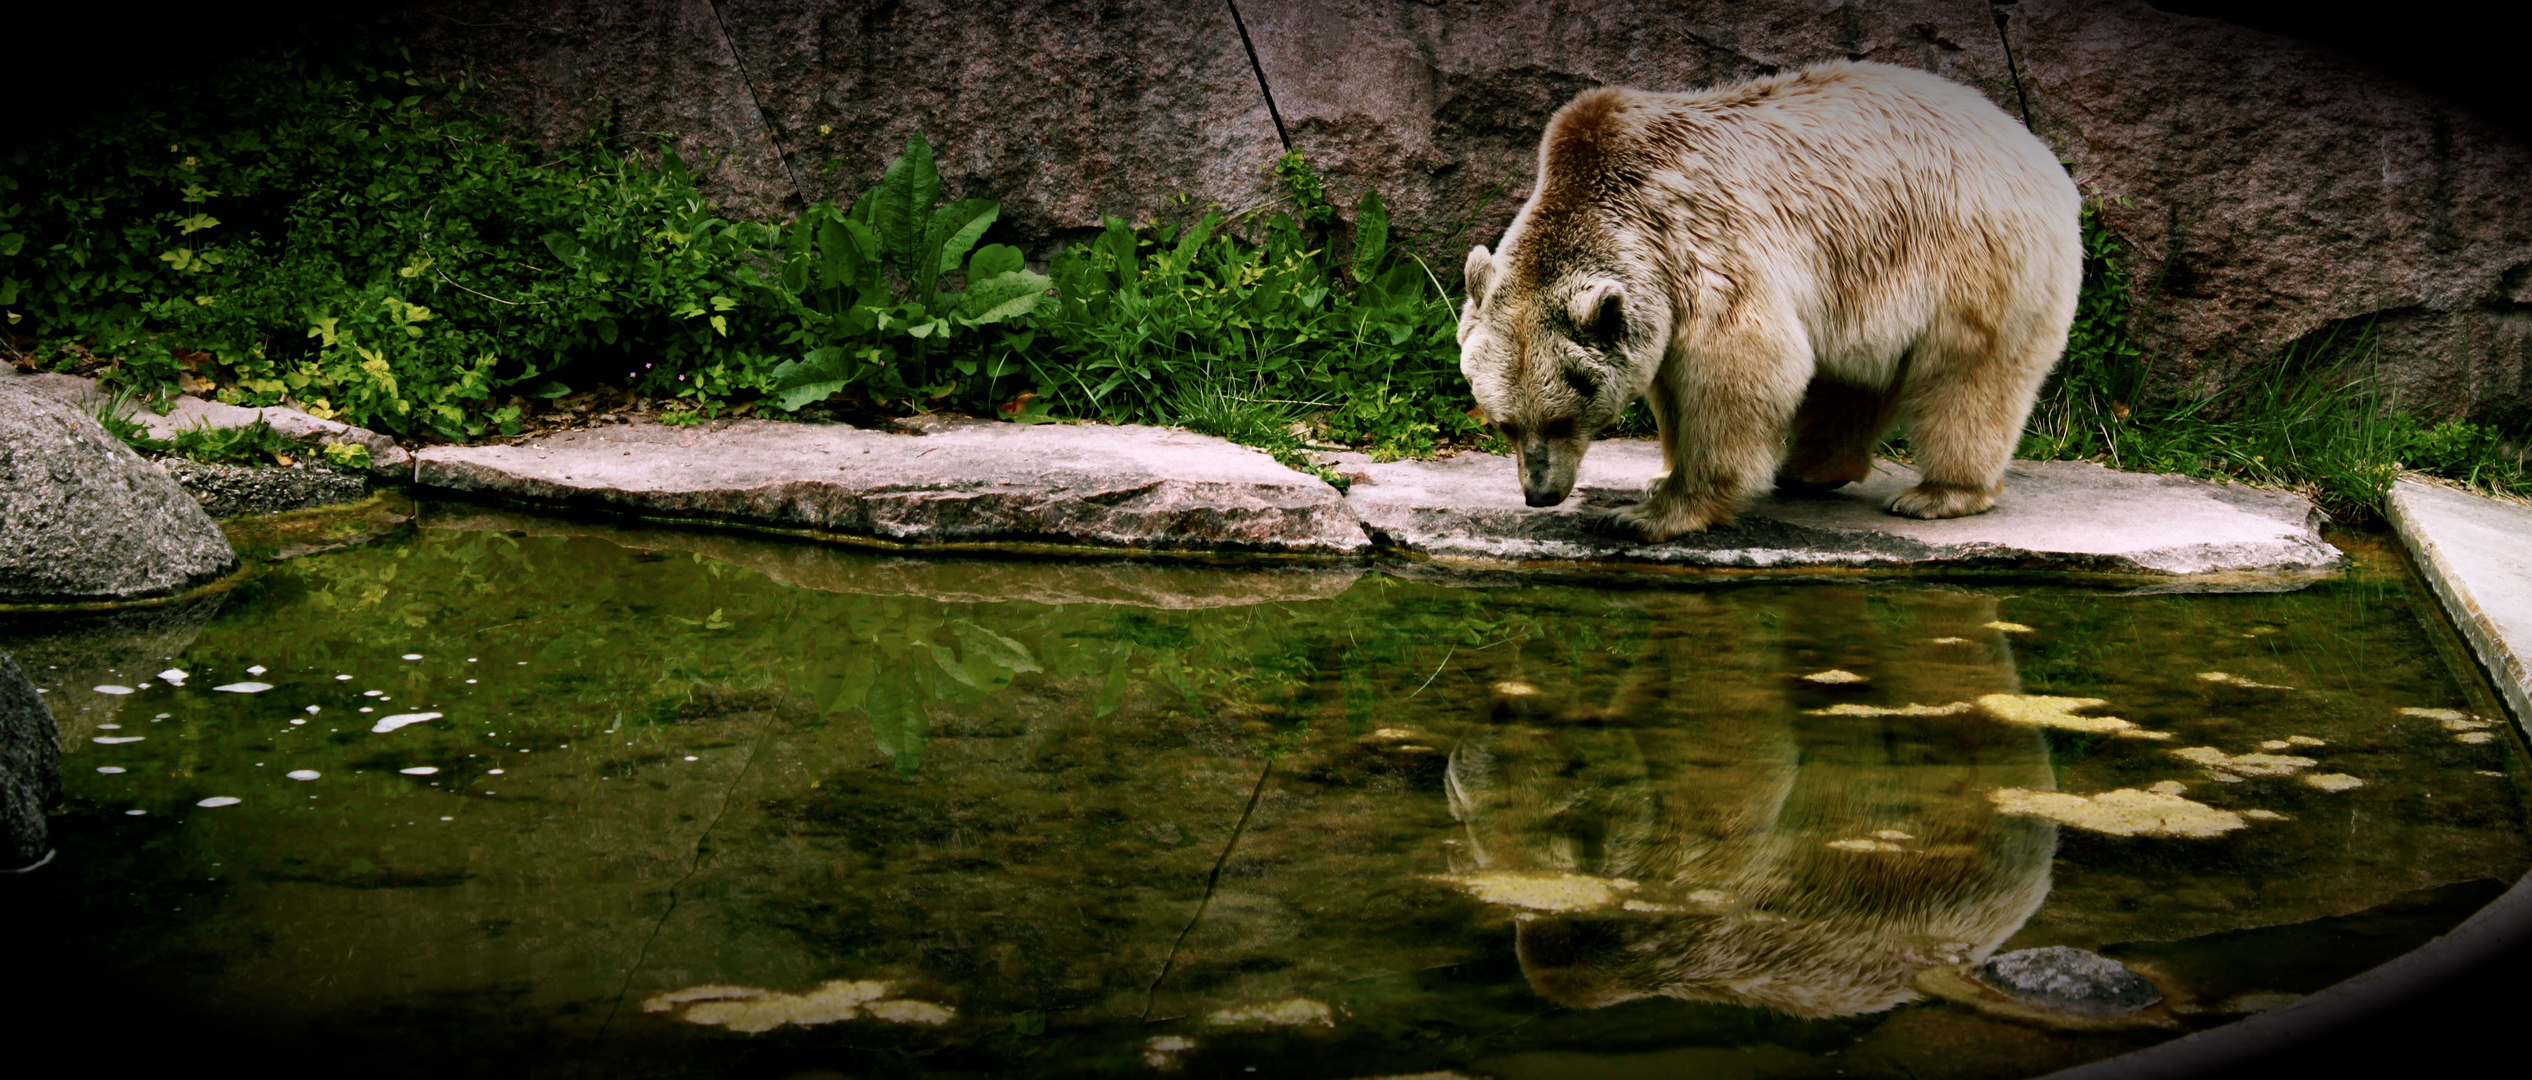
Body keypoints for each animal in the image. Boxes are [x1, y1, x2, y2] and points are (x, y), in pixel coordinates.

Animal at [1468, 61, 2076, 541]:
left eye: (1563, 419)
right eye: (1505, 424)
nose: (1540, 493)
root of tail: (2039, 153)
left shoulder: (1699, 240)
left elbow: (1739, 361)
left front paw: (1653, 512)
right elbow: (1675, 378)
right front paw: (1659, 477)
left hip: (1969, 254)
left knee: (1968, 374)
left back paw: (1938, 493)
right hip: (1864, 274)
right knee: (1849, 377)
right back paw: (1808, 469)